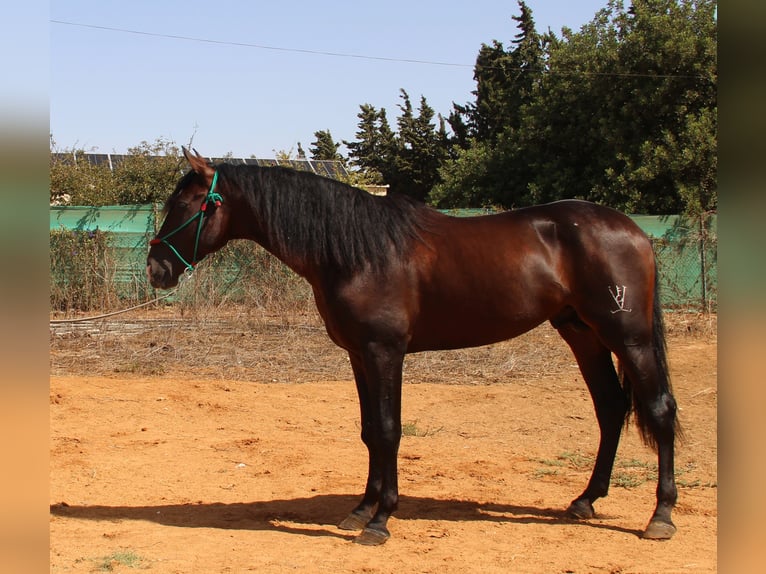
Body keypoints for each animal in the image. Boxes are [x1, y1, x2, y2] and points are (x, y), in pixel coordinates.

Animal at [147, 146, 680, 548]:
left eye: (188, 205)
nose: (156, 269)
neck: (357, 251)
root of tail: (635, 231)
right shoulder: (358, 354)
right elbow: (369, 432)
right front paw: (360, 510)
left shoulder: (385, 352)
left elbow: (388, 430)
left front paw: (381, 521)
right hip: (581, 334)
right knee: (611, 408)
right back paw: (586, 500)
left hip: (627, 337)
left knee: (658, 409)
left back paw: (660, 516)